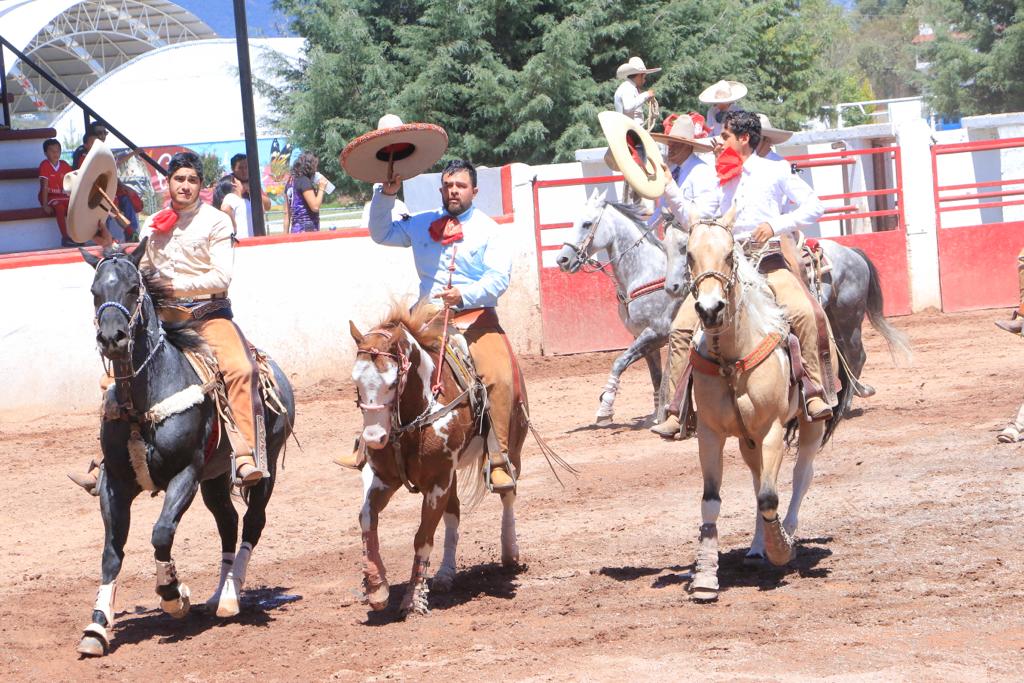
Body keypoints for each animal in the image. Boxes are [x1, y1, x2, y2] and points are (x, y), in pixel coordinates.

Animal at [73, 239, 292, 655]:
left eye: (133, 288)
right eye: (94, 292)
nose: (112, 338)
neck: (141, 403)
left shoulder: (185, 474)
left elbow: (161, 533)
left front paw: (174, 595)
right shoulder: (114, 484)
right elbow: (111, 552)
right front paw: (96, 627)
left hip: (266, 462)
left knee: (253, 522)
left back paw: (230, 597)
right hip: (216, 478)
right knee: (228, 522)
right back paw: (219, 595)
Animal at [352, 305, 528, 618]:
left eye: (393, 381)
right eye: (355, 381)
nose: (373, 438)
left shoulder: (437, 482)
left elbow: (422, 537)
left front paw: (414, 600)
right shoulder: (385, 478)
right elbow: (367, 518)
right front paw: (376, 586)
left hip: (512, 447)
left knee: (508, 493)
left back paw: (510, 553)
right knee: (453, 514)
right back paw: (446, 573)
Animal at [675, 215, 851, 602]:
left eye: (729, 256)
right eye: (689, 255)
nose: (709, 309)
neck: (731, 357)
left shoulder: (771, 429)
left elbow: (771, 496)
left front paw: (781, 550)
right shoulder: (710, 434)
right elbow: (712, 500)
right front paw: (705, 577)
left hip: (811, 425)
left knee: (801, 476)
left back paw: (787, 534)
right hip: (747, 440)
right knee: (759, 481)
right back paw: (757, 547)